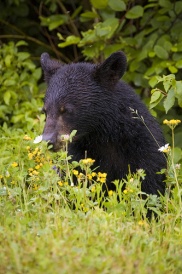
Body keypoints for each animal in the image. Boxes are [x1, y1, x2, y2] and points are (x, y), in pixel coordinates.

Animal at [40, 51, 166, 196]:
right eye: (45, 110)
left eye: (66, 110)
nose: (48, 140)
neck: (102, 137)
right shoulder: (78, 158)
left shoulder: (145, 154)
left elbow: (150, 185)